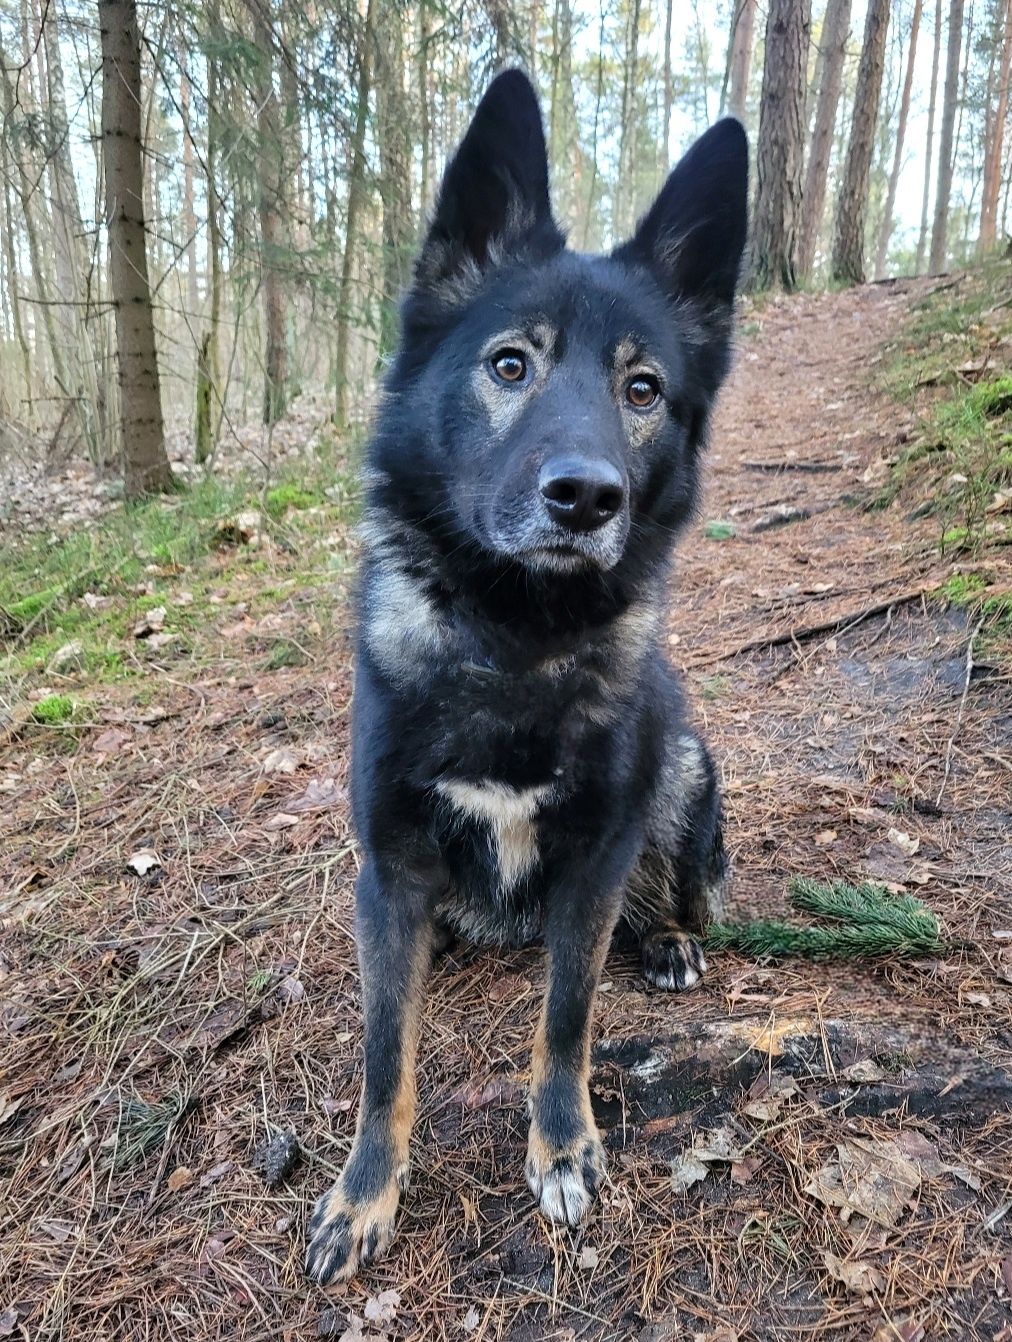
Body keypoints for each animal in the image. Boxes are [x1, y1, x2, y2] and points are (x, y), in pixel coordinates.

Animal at [307, 68, 751, 1282]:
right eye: (511, 364)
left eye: (643, 390)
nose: (587, 497)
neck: (514, 647)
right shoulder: (389, 872)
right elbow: (385, 1054)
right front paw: (365, 1191)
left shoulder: (595, 858)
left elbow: (566, 1016)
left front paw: (561, 1145)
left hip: (687, 773)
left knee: (670, 890)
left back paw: (672, 941)